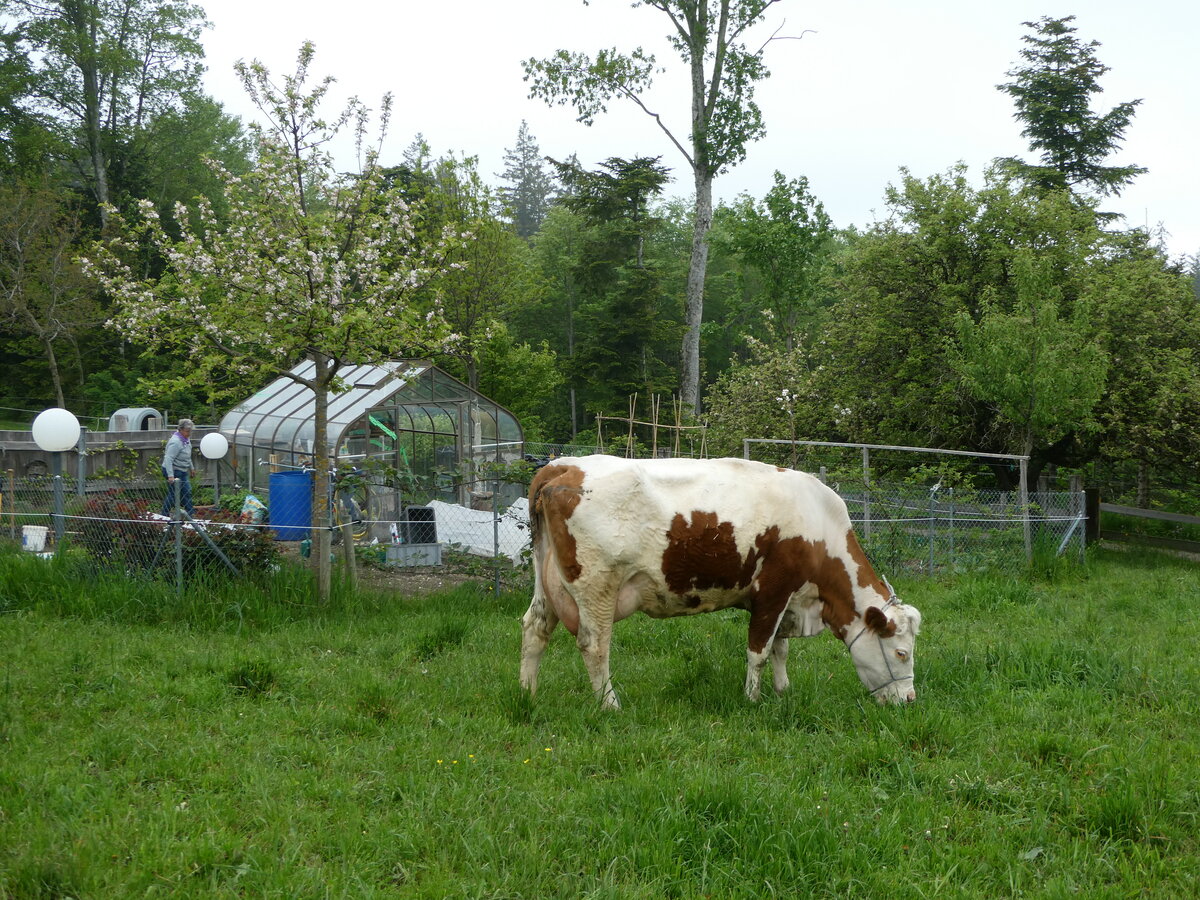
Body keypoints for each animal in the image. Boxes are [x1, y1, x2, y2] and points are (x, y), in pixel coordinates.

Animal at [519, 455, 922, 709]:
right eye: (901, 652)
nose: (909, 700)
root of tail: (563, 467)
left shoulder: (789, 600)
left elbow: (780, 649)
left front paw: (783, 691)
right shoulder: (773, 590)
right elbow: (759, 651)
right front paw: (753, 700)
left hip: (547, 584)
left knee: (534, 628)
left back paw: (528, 694)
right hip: (596, 585)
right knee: (595, 645)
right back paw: (609, 705)